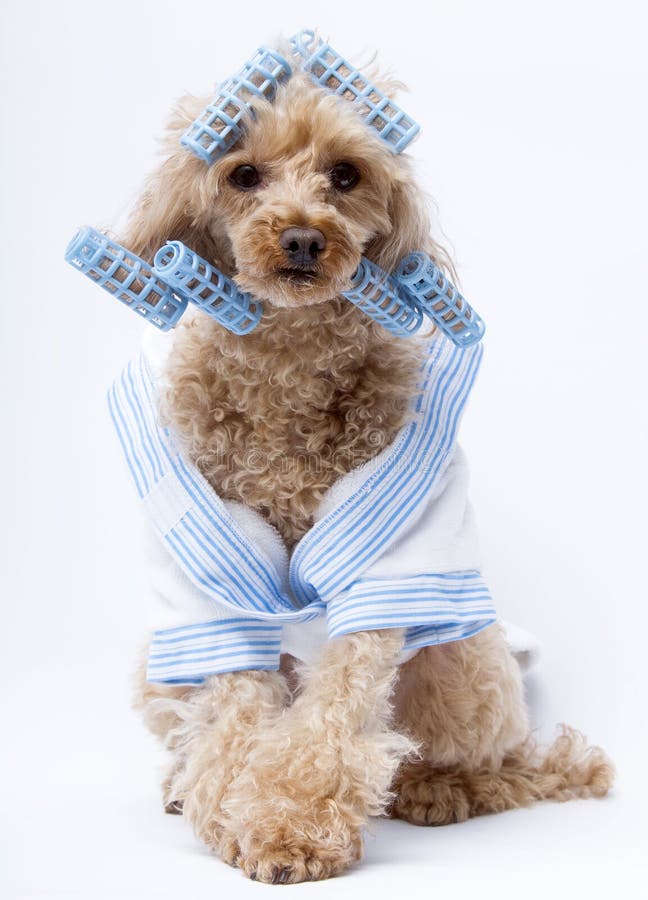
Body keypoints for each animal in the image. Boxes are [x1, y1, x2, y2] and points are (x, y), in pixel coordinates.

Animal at [114, 35, 616, 884]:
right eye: (242, 174)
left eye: (345, 175)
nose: (302, 237)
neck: (286, 362)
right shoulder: (212, 571)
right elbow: (235, 708)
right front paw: (228, 809)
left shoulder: (382, 565)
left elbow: (337, 710)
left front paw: (288, 827)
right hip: (157, 667)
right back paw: (182, 782)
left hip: (465, 664)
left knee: (494, 759)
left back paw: (441, 789)